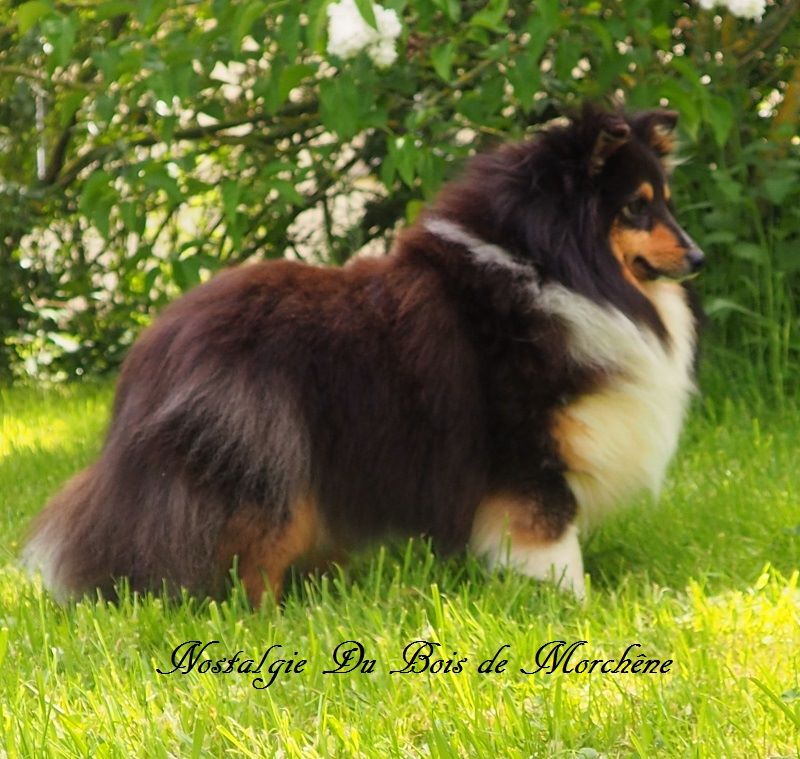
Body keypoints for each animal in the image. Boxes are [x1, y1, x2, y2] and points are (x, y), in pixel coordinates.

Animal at [24, 105, 703, 604]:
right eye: (636, 205)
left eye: (666, 200)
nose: (698, 257)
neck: (550, 267)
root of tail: (152, 354)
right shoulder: (528, 453)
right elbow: (552, 543)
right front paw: (571, 605)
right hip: (267, 458)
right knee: (248, 558)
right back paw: (271, 618)